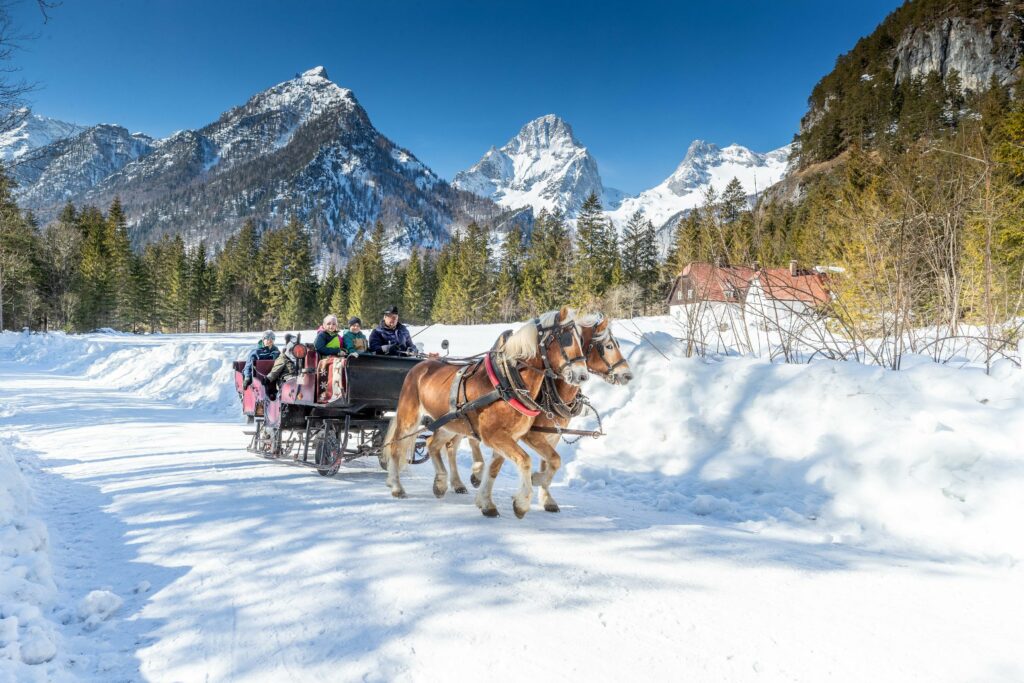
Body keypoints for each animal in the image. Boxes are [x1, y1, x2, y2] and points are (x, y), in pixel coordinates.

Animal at [382, 307, 593, 516]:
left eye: (581, 340)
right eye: (566, 338)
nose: (582, 376)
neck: (508, 382)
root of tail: (420, 365)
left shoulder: (510, 436)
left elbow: (496, 469)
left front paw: (487, 502)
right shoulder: (494, 435)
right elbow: (525, 461)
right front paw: (522, 502)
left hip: (449, 423)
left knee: (432, 443)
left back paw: (441, 483)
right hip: (409, 418)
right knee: (396, 446)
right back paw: (396, 486)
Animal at [440, 313, 630, 509]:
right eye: (609, 346)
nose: (628, 375)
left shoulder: (551, 434)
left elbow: (550, 462)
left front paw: (545, 497)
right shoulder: (531, 434)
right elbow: (552, 461)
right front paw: (534, 482)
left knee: (458, 443)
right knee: (454, 445)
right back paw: (466, 477)